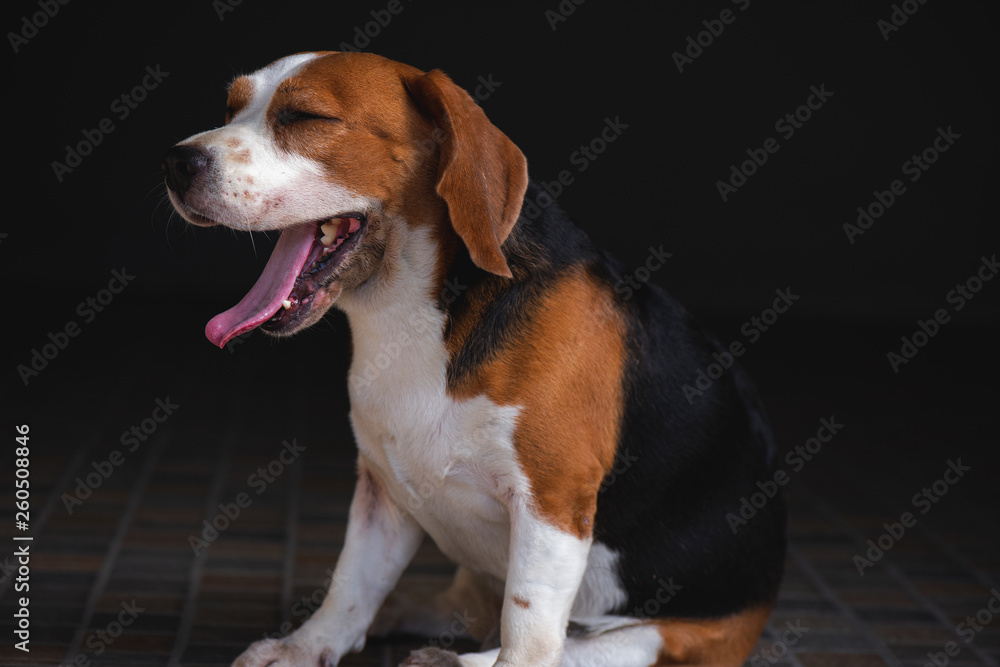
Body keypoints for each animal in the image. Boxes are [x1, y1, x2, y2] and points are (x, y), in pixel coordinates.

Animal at [164, 51, 784, 667]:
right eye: (230, 108)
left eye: (305, 116)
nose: (176, 163)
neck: (412, 317)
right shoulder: (382, 491)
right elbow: (352, 584)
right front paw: (307, 647)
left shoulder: (552, 504)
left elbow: (528, 632)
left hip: (660, 639)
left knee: (561, 644)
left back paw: (446, 660)